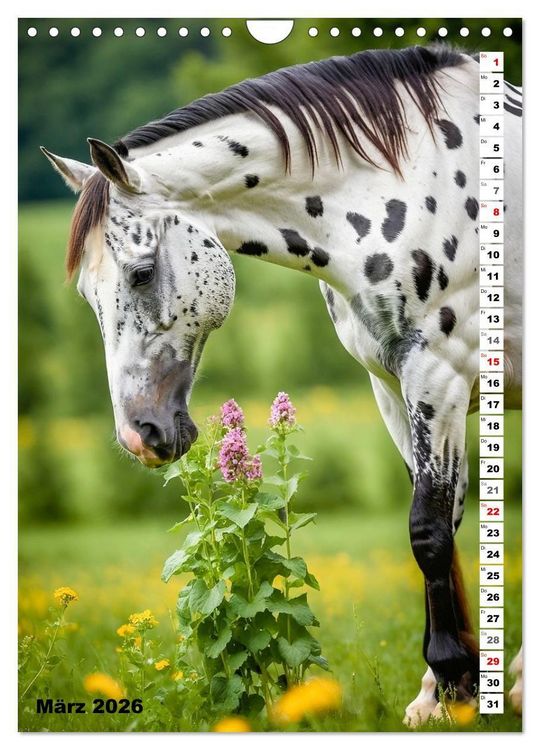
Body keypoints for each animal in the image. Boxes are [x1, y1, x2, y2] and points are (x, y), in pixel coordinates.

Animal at [41, 44, 523, 725]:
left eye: (140, 273)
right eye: (87, 292)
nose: (140, 435)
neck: (411, 182)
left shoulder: (440, 376)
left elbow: (428, 532)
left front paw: (454, 681)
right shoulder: (393, 387)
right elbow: (447, 523)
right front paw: (444, 693)